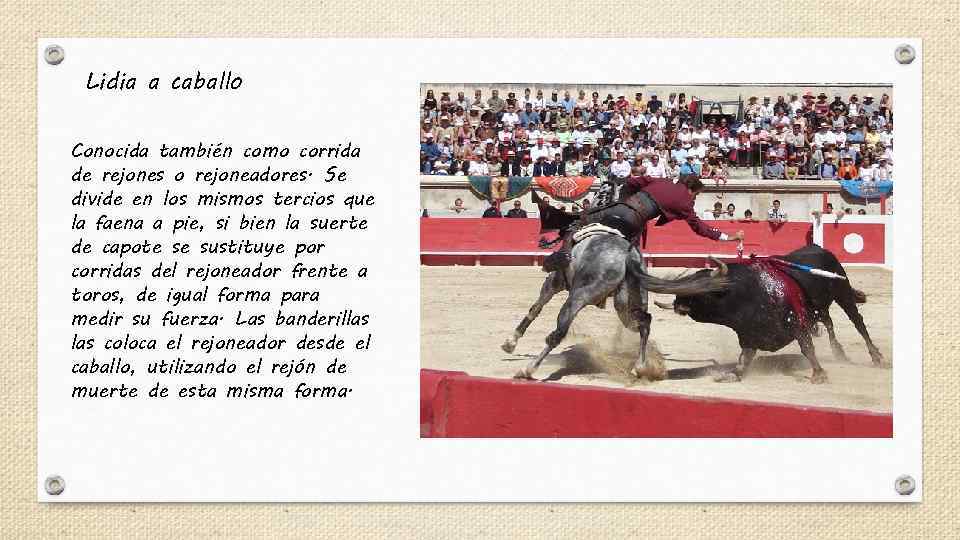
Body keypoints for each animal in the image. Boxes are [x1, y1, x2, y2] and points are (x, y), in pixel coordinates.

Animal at [502, 228, 729, 380]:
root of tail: (628, 256)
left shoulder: (554, 281)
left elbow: (536, 307)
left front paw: (510, 343)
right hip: (627, 303)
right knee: (644, 323)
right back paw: (639, 367)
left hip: (579, 296)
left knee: (558, 333)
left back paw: (527, 370)